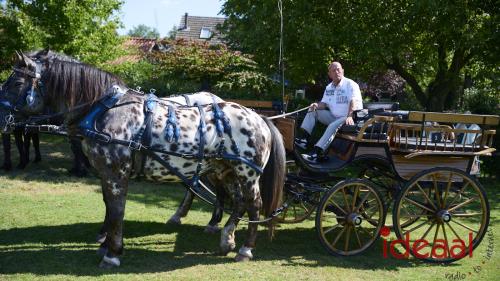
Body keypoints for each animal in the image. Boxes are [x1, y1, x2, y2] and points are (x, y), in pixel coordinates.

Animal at [1, 53, 286, 266]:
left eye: (15, 84)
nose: (1, 117)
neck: (104, 110)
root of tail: (259, 117)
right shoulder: (106, 173)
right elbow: (109, 207)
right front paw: (106, 244)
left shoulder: (116, 173)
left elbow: (117, 209)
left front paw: (113, 253)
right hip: (223, 170)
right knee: (237, 202)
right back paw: (226, 238)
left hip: (246, 173)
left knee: (253, 204)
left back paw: (245, 249)